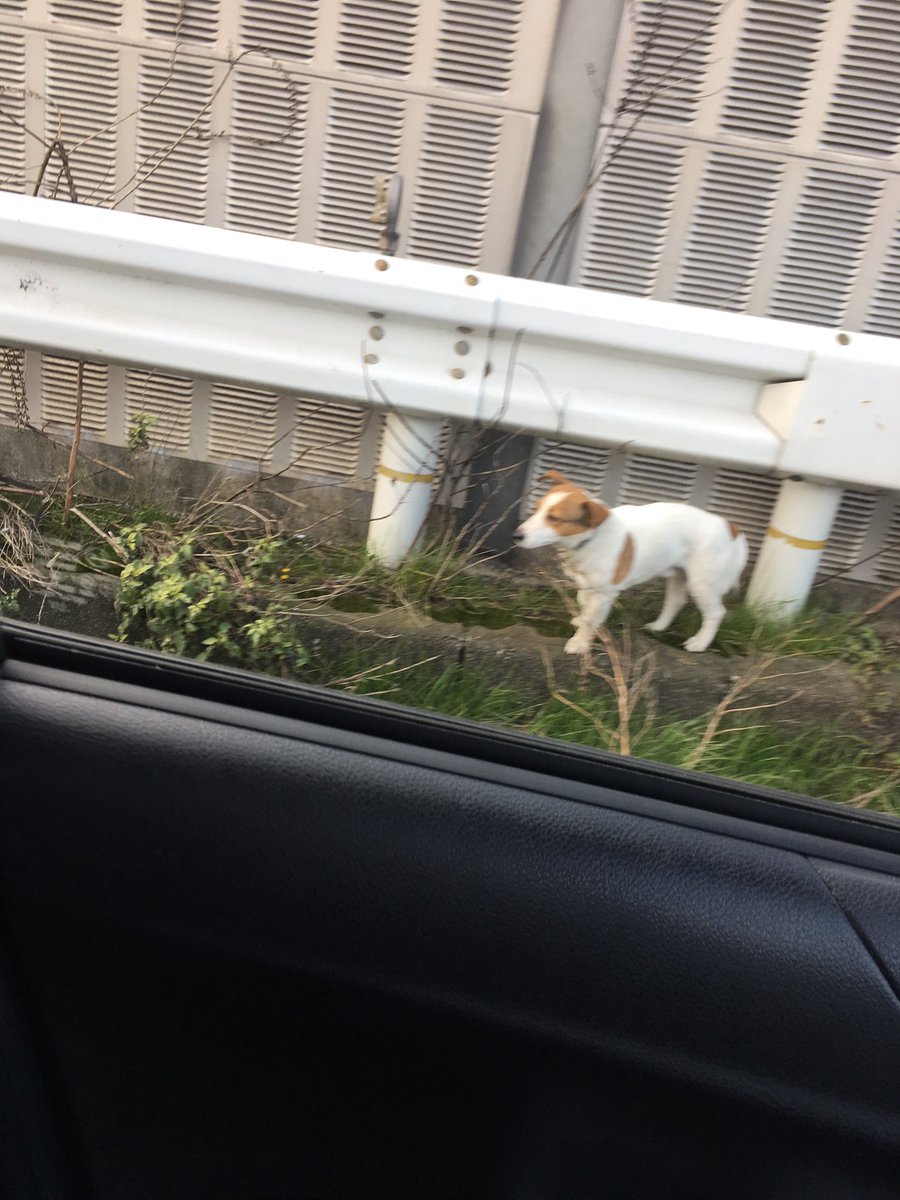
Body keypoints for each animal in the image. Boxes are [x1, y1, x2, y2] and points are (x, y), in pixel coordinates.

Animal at [513, 471, 748, 654]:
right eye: (537, 508)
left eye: (554, 518)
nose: (517, 535)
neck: (590, 539)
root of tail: (732, 528)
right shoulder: (588, 586)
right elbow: (584, 605)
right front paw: (583, 621)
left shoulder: (604, 593)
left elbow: (590, 619)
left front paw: (579, 642)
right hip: (678, 574)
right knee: (675, 601)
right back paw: (658, 626)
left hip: (702, 583)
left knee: (715, 613)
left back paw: (700, 642)